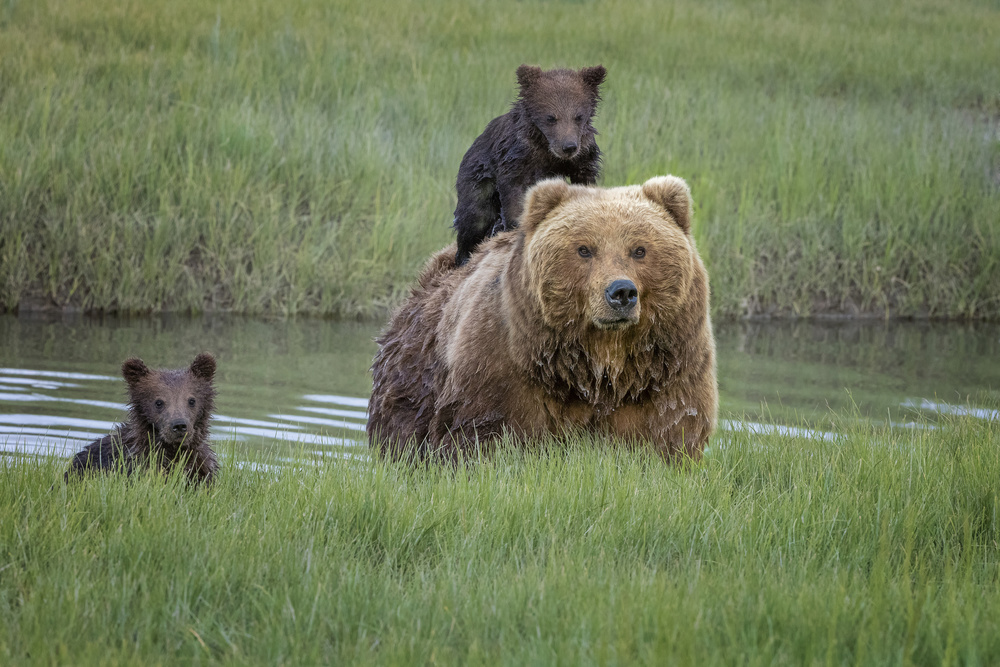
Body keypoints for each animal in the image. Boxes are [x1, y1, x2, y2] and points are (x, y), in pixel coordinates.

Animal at [372, 175, 716, 462]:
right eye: (584, 249)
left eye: (639, 250)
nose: (621, 292)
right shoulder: (502, 365)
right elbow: (484, 432)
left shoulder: (665, 372)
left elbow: (669, 431)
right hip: (412, 381)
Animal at [456, 64, 608, 266]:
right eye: (551, 117)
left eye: (578, 116)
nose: (568, 147)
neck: (547, 149)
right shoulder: (517, 157)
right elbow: (514, 192)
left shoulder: (583, 155)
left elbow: (584, 179)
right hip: (476, 180)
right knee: (474, 217)